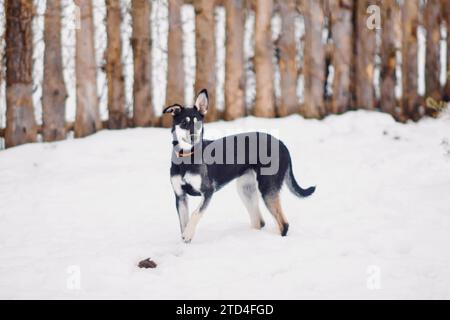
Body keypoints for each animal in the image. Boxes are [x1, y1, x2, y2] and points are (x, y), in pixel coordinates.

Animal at [163, 88, 314, 242]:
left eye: (198, 123)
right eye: (184, 122)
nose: (194, 138)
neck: (186, 157)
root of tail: (282, 144)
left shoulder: (208, 191)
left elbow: (195, 214)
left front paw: (188, 234)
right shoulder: (180, 196)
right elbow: (183, 223)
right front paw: (185, 240)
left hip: (267, 188)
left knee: (284, 224)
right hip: (245, 188)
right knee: (259, 221)